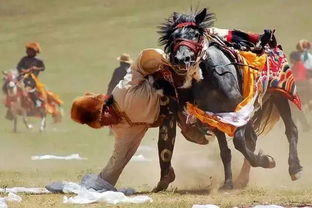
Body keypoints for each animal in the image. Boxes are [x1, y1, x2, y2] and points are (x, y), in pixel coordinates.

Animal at [152, 8, 304, 191]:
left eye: (196, 34)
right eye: (174, 36)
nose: (182, 59)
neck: (211, 78)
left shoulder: (239, 112)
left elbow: (239, 142)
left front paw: (267, 161)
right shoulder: (214, 117)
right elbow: (226, 152)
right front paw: (228, 183)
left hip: (279, 96)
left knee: (291, 130)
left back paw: (295, 168)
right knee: (252, 139)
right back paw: (242, 179)